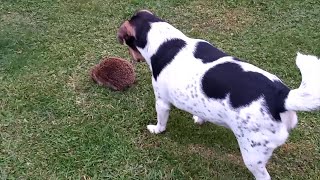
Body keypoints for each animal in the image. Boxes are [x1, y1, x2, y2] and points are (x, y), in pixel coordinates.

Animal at [117, 10, 320, 180]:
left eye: (128, 44)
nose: (133, 59)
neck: (168, 42)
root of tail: (282, 98)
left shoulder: (162, 102)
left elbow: (161, 123)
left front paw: (156, 130)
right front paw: (199, 119)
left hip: (252, 155)